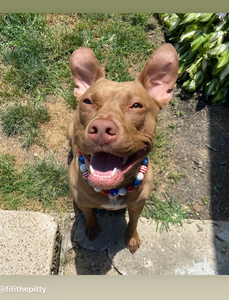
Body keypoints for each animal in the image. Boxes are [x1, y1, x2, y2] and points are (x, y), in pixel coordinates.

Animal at [66, 43, 179, 252]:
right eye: (88, 101)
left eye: (136, 105)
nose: (102, 128)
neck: (112, 191)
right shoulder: (83, 202)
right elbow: (89, 214)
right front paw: (92, 227)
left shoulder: (137, 205)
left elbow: (133, 222)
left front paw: (132, 238)